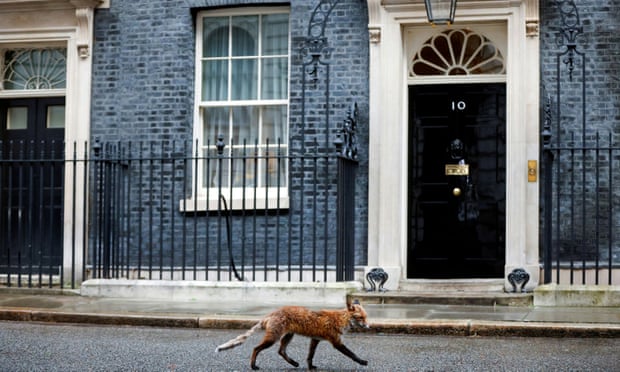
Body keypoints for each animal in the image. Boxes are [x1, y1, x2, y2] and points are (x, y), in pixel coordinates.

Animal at [216, 300, 368, 370]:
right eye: (361, 318)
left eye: (366, 317)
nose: (368, 326)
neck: (341, 319)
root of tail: (272, 313)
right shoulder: (336, 341)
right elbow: (352, 354)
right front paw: (362, 362)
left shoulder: (315, 339)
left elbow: (310, 356)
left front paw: (310, 367)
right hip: (273, 338)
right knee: (256, 348)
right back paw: (253, 366)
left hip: (288, 336)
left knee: (281, 351)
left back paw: (294, 363)